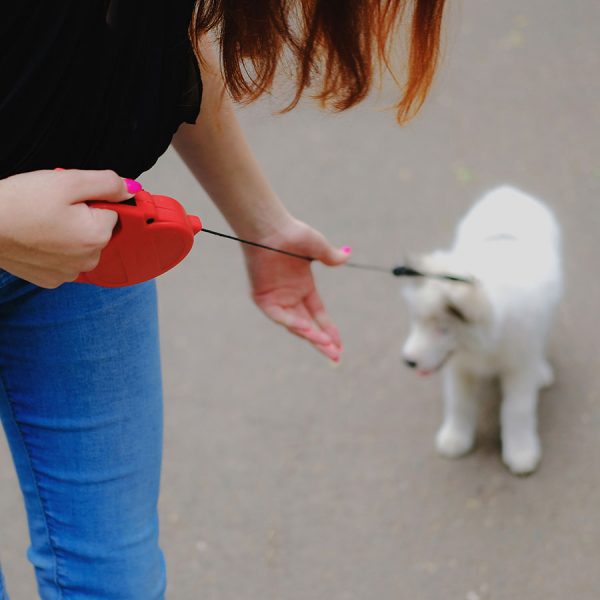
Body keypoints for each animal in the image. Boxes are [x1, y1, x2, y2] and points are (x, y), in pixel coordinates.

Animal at [404, 185, 564, 476]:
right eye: (417, 320)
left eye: (443, 330)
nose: (408, 361)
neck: (486, 346)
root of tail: (510, 191)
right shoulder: (460, 368)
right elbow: (458, 404)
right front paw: (455, 439)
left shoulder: (519, 368)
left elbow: (517, 410)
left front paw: (521, 452)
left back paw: (542, 371)